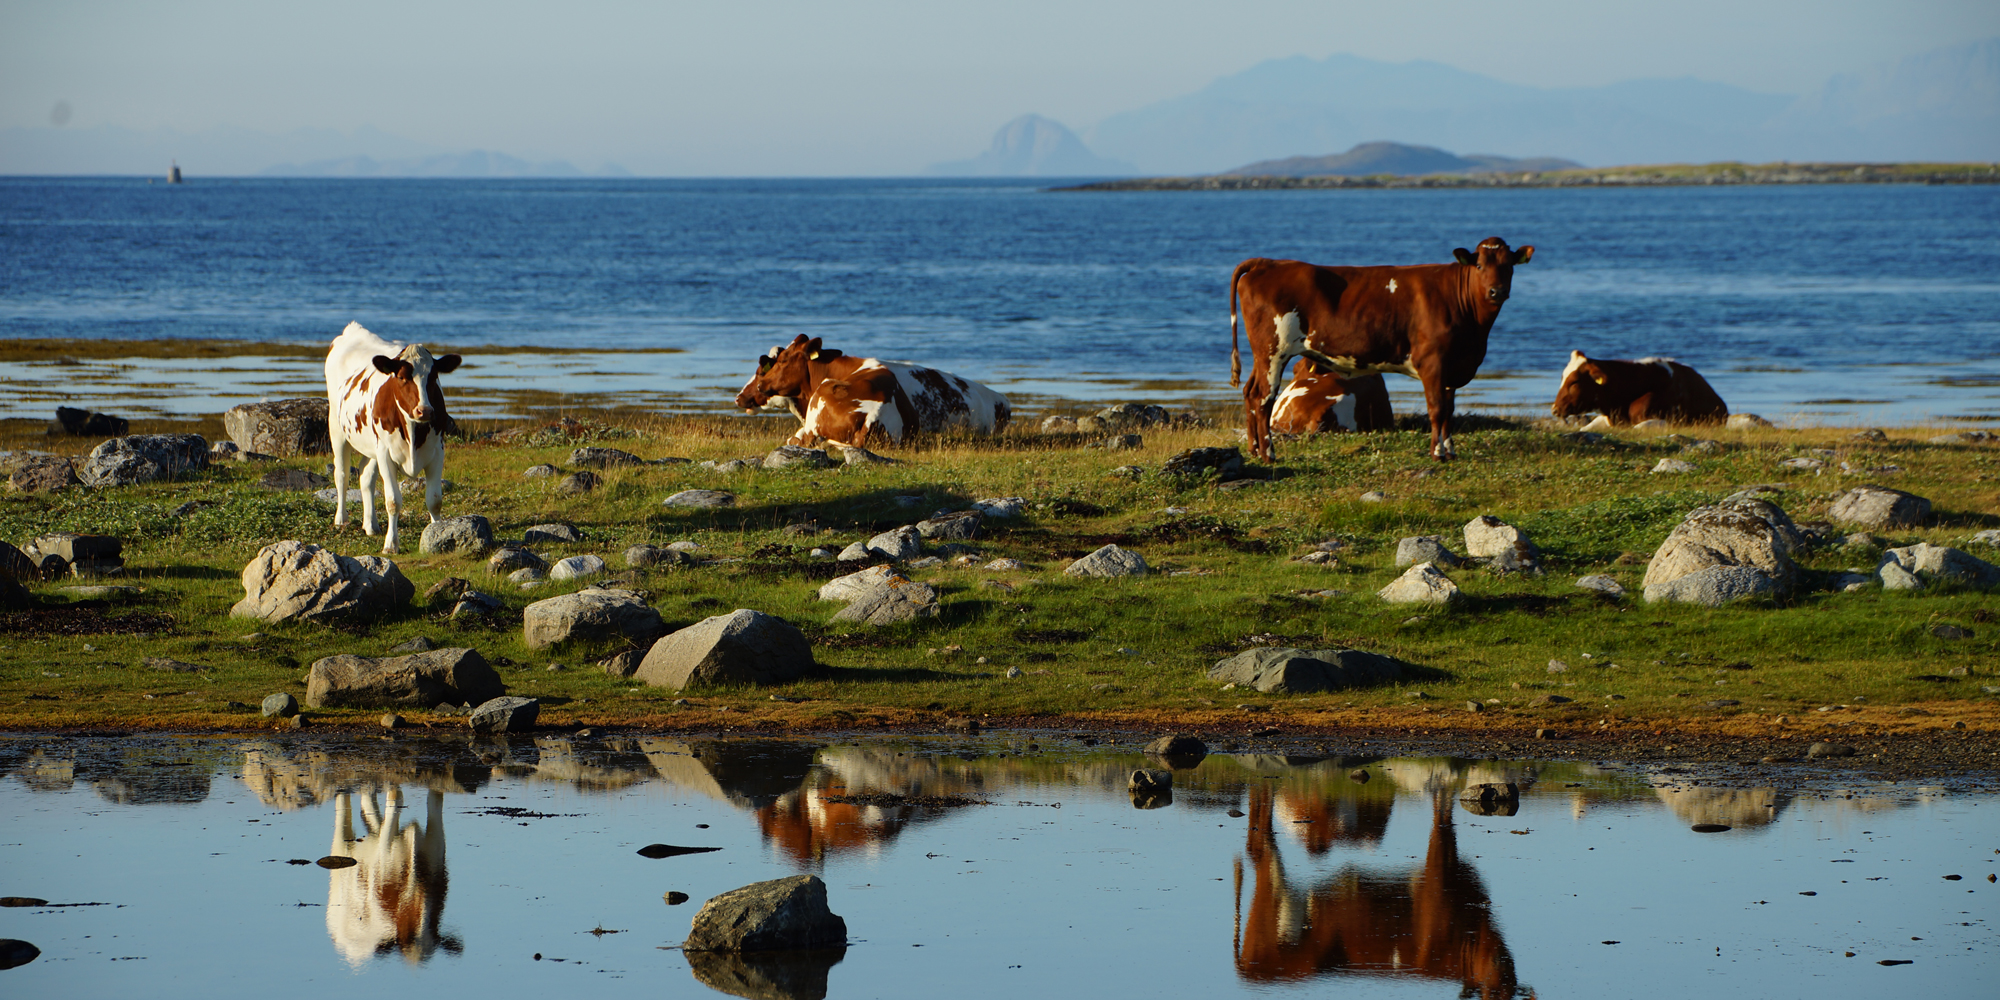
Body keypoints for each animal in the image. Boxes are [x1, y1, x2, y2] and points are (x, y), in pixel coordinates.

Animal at [326, 322, 462, 552]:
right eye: (401, 377)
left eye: (434, 377)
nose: (424, 411)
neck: (414, 431)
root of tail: (353, 329)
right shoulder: (386, 455)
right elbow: (392, 501)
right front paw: (391, 544)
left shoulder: (437, 452)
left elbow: (434, 500)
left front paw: (436, 534)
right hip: (337, 430)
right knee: (342, 475)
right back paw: (341, 519)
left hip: (372, 445)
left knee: (366, 476)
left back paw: (370, 525)